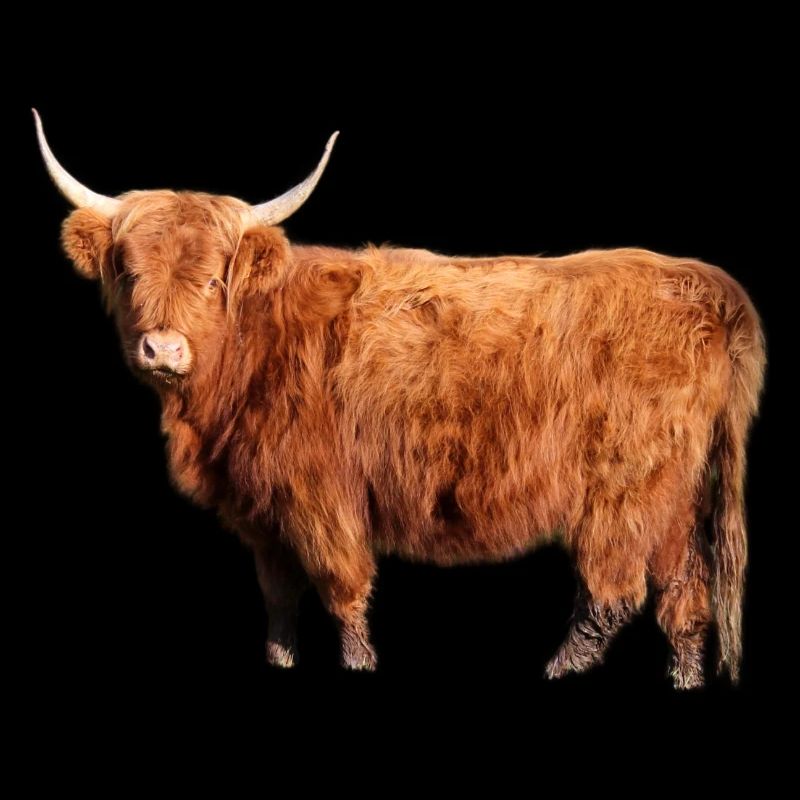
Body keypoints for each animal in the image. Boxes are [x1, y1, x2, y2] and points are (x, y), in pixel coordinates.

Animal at [34, 109, 765, 688]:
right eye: (128, 273)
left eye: (215, 280)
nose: (162, 351)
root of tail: (704, 284)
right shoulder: (262, 507)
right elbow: (279, 596)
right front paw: (280, 660)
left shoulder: (321, 493)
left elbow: (341, 587)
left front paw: (359, 664)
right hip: (676, 492)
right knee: (685, 594)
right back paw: (683, 679)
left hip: (625, 486)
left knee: (617, 590)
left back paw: (560, 668)